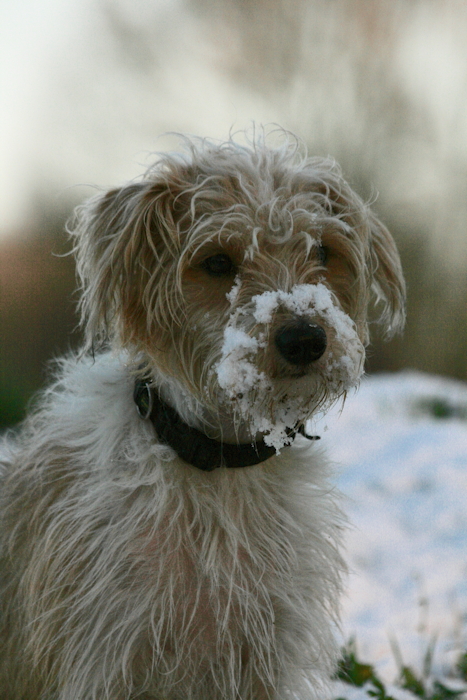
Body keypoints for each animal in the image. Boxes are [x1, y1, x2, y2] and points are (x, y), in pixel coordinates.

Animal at [0, 133, 406, 700]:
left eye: (323, 251)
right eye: (217, 263)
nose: (305, 337)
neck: (219, 467)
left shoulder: (265, 656)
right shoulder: (107, 656)